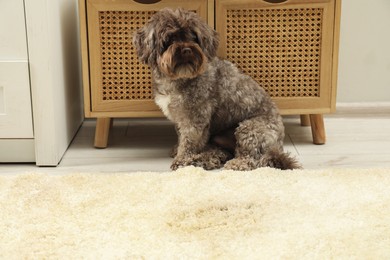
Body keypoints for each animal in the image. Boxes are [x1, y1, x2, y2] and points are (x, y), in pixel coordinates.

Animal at [133, 7, 300, 171]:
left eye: (193, 37)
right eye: (170, 38)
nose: (187, 49)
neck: (180, 77)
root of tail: (278, 146)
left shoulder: (195, 118)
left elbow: (189, 142)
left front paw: (182, 159)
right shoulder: (180, 118)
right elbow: (181, 136)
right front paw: (178, 151)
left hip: (250, 129)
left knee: (252, 158)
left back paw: (234, 163)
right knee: (220, 154)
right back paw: (204, 160)